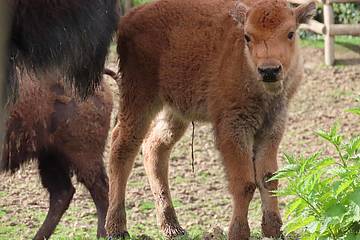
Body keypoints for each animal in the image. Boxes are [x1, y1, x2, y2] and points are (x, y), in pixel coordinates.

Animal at [106, 0, 316, 239]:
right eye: (247, 36)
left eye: (290, 33)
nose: (269, 70)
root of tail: (130, 17)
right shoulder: (232, 128)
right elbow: (244, 183)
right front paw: (238, 232)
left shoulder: (272, 127)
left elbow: (268, 178)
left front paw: (273, 230)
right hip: (139, 101)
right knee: (122, 149)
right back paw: (117, 228)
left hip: (174, 113)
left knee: (155, 148)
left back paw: (172, 226)